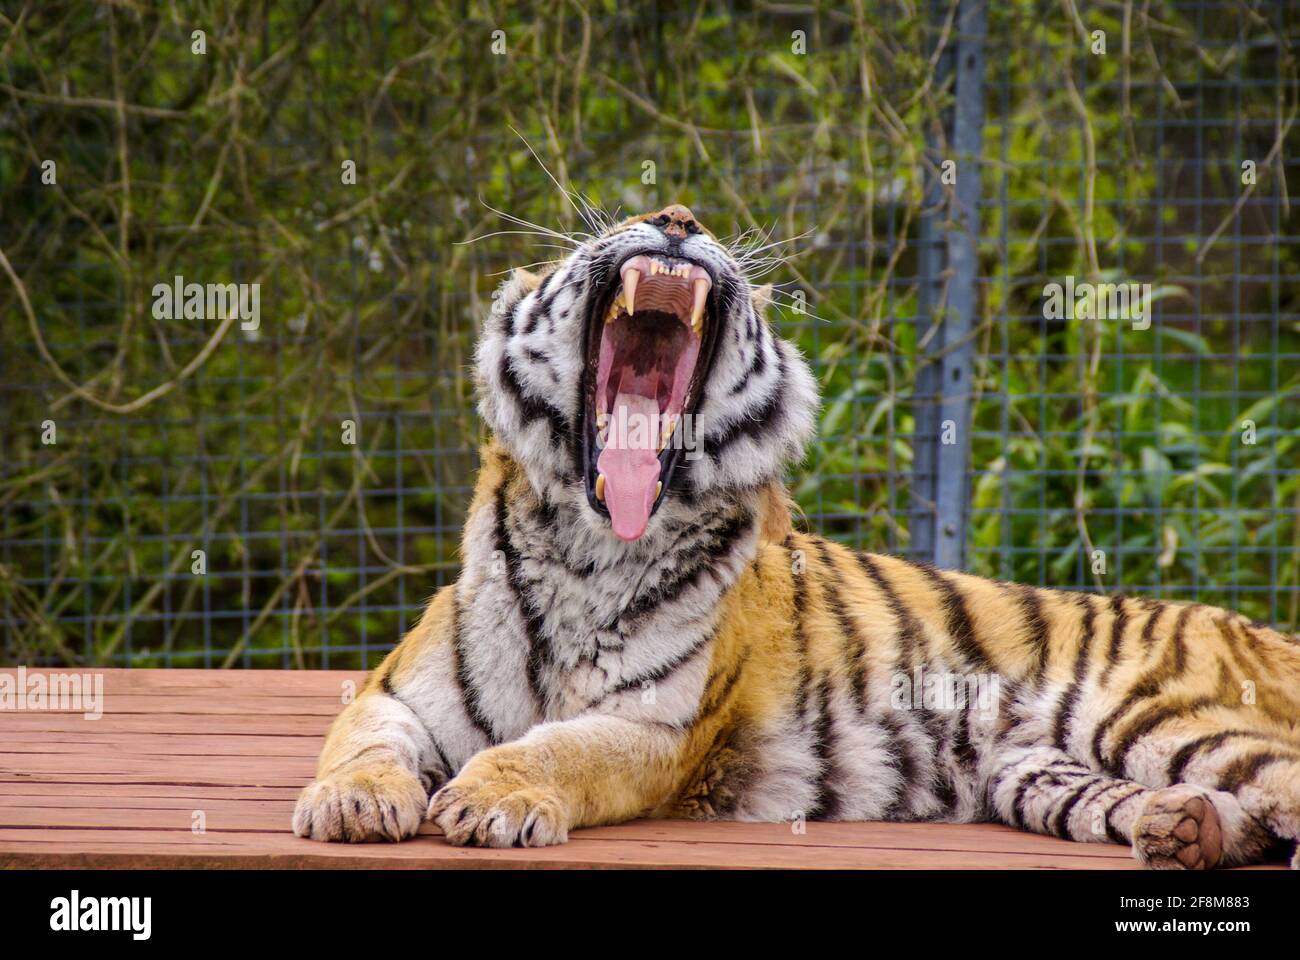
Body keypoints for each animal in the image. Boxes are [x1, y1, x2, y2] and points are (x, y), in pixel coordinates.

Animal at [295, 201, 1300, 868]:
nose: (676, 214)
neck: (589, 547)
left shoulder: (654, 729)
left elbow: (554, 747)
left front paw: (488, 797)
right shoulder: (397, 692)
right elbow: (364, 742)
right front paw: (349, 803)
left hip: (1164, 719)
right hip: (1041, 775)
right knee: (1214, 815)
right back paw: (1192, 830)